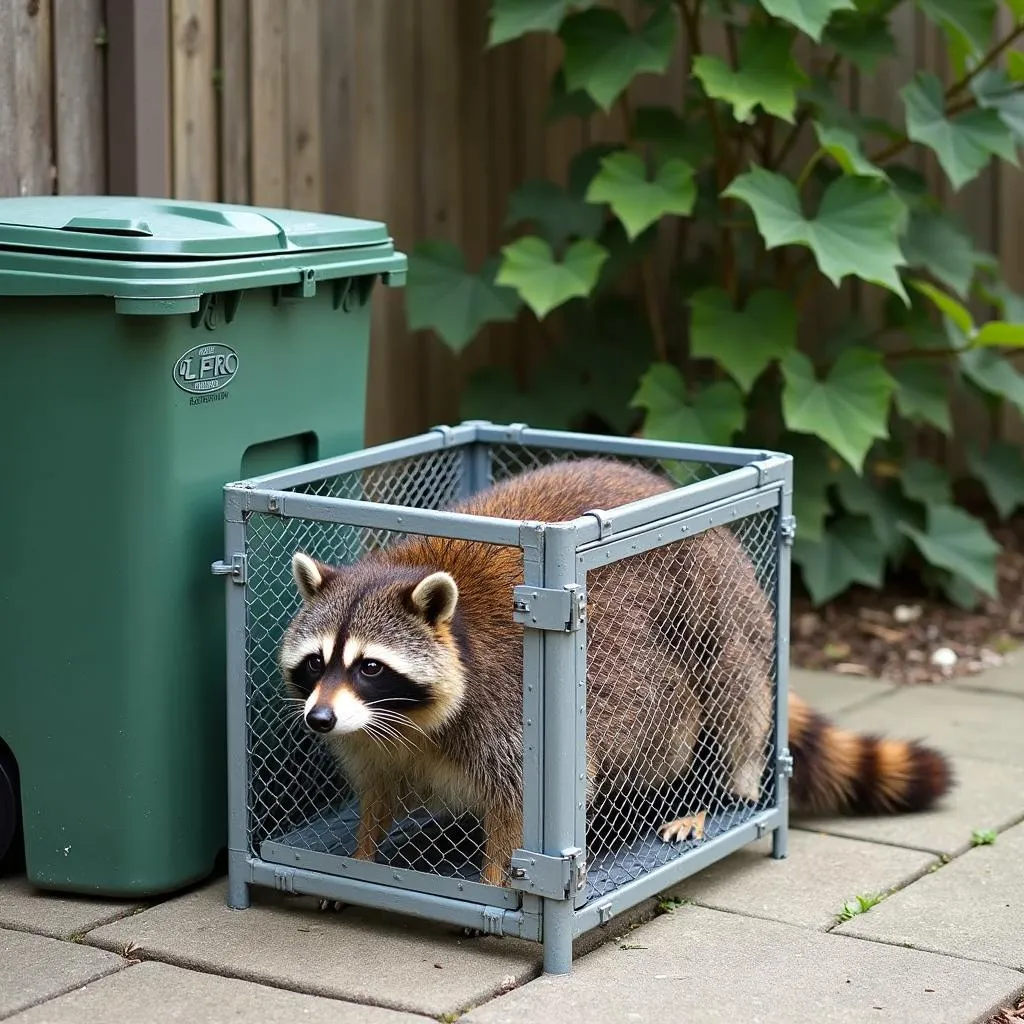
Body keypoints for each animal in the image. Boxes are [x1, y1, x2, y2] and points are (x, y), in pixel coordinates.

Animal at [276, 458, 954, 888]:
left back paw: (703, 795)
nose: (319, 719)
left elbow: (518, 811)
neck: (407, 718)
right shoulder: (372, 738)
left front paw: (494, 881)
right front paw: (363, 859)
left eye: (370, 666)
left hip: (721, 609)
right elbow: (379, 794)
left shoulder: (505, 714)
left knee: (727, 701)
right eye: (316, 663)